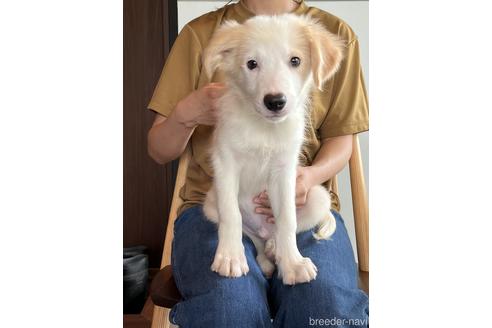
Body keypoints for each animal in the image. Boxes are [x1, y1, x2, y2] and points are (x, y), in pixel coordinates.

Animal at [202, 14, 344, 284]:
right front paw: (230, 257)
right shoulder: (225, 163)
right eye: (252, 64)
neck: (264, 129)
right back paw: (265, 259)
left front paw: (293, 264)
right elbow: (231, 215)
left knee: (276, 232)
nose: (275, 102)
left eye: (295, 60)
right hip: (210, 204)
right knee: (254, 236)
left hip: (319, 198)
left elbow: (287, 219)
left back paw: (275, 248)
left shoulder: (284, 172)